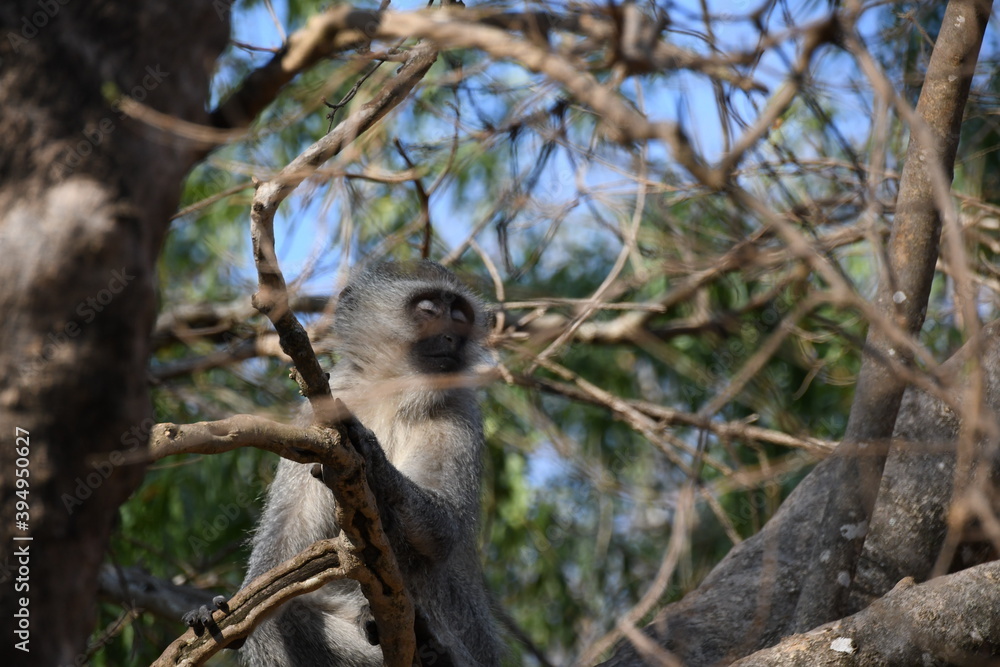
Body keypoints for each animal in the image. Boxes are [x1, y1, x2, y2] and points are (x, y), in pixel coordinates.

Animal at [237, 260, 503, 667]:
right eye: (428, 310)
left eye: (459, 317)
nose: (450, 338)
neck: (394, 391)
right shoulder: (318, 416)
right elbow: (281, 557)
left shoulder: (460, 414)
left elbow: (445, 529)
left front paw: (373, 459)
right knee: (278, 621)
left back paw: (435, 650)